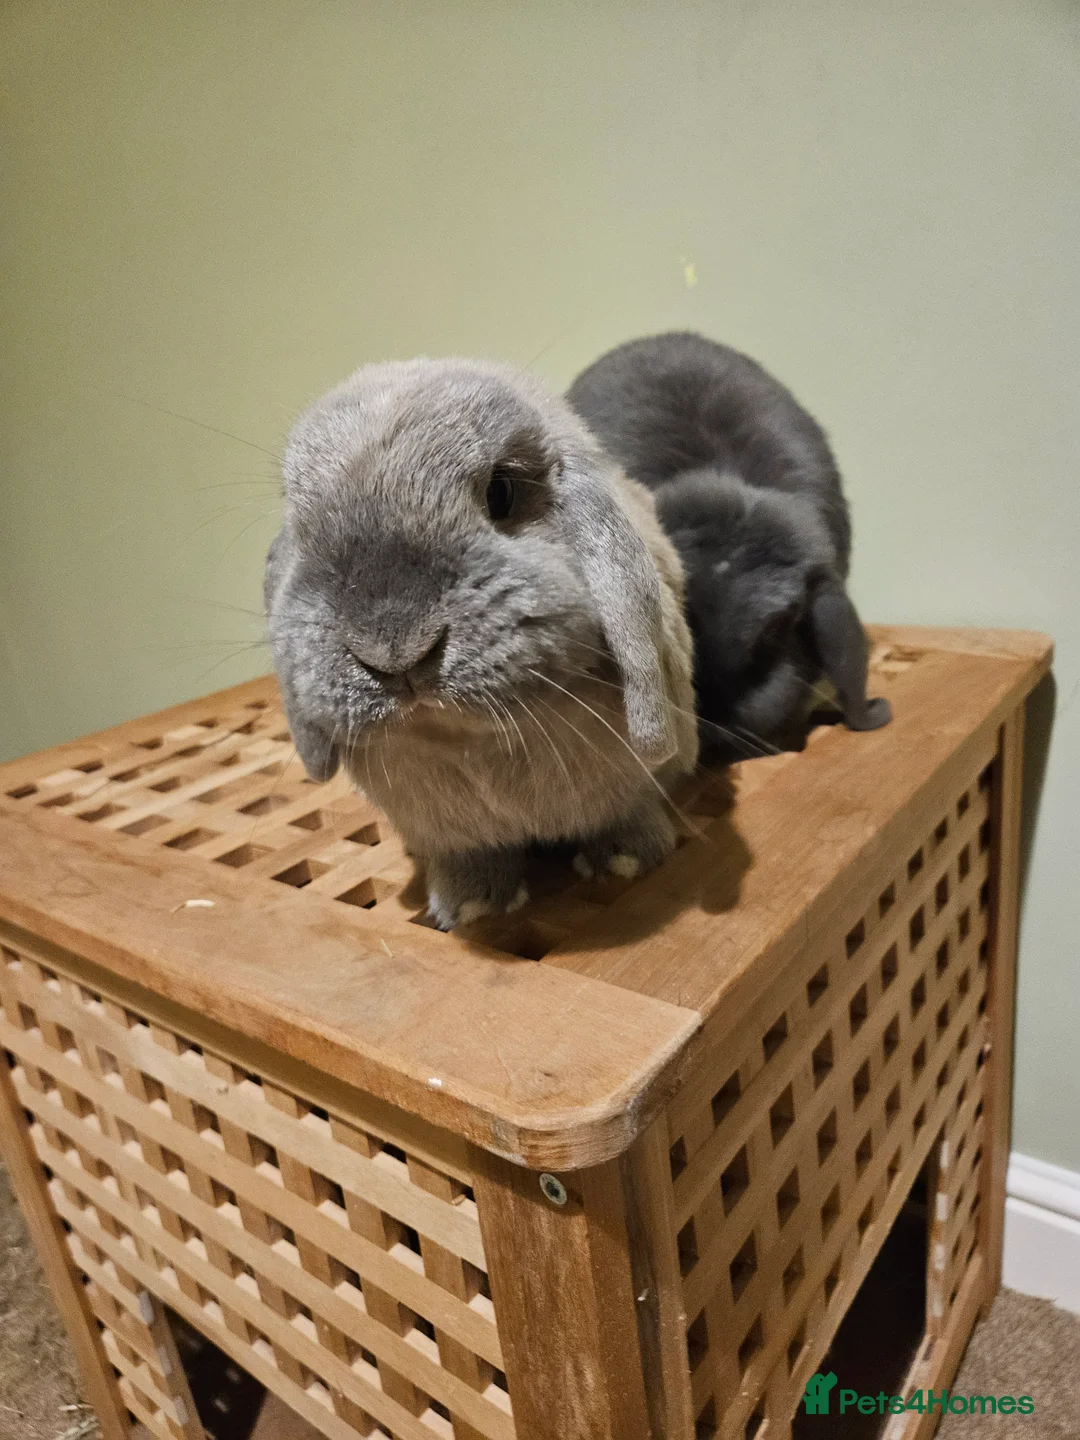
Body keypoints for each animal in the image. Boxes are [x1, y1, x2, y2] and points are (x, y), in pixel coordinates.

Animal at [264, 357, 698, 929]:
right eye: (305, 529)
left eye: (502, 492)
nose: (396, 653)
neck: (470, 742)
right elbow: (470, 855)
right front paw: (472, 906)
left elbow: (627, 807)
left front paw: (627, 861)